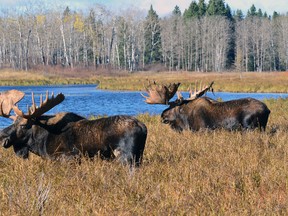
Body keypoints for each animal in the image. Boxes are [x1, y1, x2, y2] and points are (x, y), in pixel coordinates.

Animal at [0, 89, 147, 165]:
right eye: (13, 123)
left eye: (23, 125)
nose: (2, 136)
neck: (41, 141)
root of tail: (143, 128)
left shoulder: (67, 158)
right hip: (138, 156)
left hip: (125, 157)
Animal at [143, 81, 272, 132]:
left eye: (171, 106)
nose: (162, 115)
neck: (185, 118)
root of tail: (267, 110)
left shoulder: (203, 130)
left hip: (249, 126)